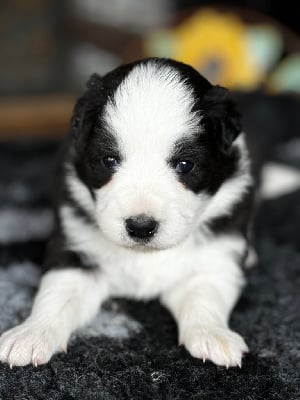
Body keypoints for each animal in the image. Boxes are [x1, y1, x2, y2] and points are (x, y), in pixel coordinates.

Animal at [0, 57, 253, 368]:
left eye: (184, 165)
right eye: (109, 160)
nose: (141, 227)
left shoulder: (214, 260)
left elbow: (205, 296)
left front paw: (213, 335)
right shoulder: (77, 253)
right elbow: (57, 293)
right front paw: (31, 334)